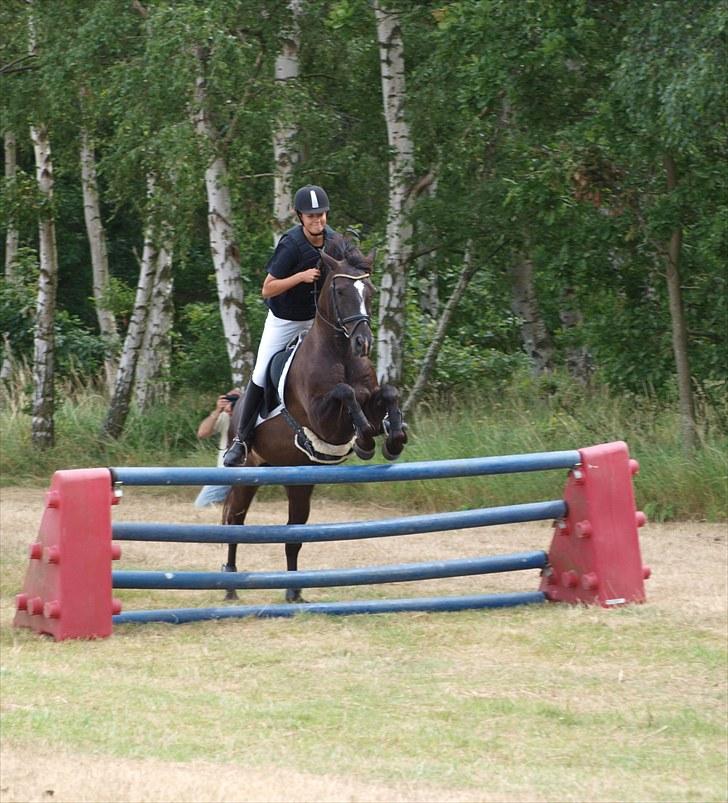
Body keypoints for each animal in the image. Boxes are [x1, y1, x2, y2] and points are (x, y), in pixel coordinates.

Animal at [222, 239, 406, 604]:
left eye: (371, 291)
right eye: (340, 291)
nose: (363, 343)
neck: (341, 353)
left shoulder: (371, 397)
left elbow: (387, 393)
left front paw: (395, 438)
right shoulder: (325, 422)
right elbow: (345, 393)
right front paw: (365, 441)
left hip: (298, 480)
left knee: (293, 532)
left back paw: (294, 591)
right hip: (247, 472)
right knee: (235, 520)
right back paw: (231, 584)